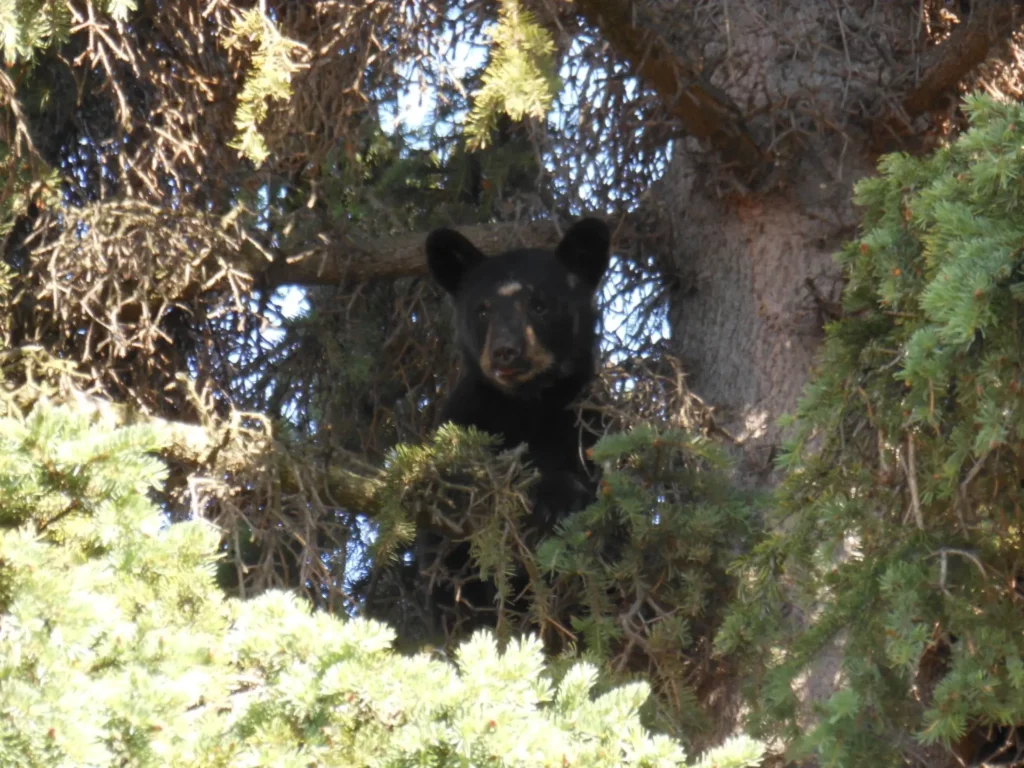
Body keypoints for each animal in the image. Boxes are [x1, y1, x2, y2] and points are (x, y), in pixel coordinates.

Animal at [428, 217, 610, 528]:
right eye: (482, 310)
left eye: (539, 305)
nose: (505, 351)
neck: (526, 405)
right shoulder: (466, 419)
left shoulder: (584, 425)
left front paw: (561, 498)